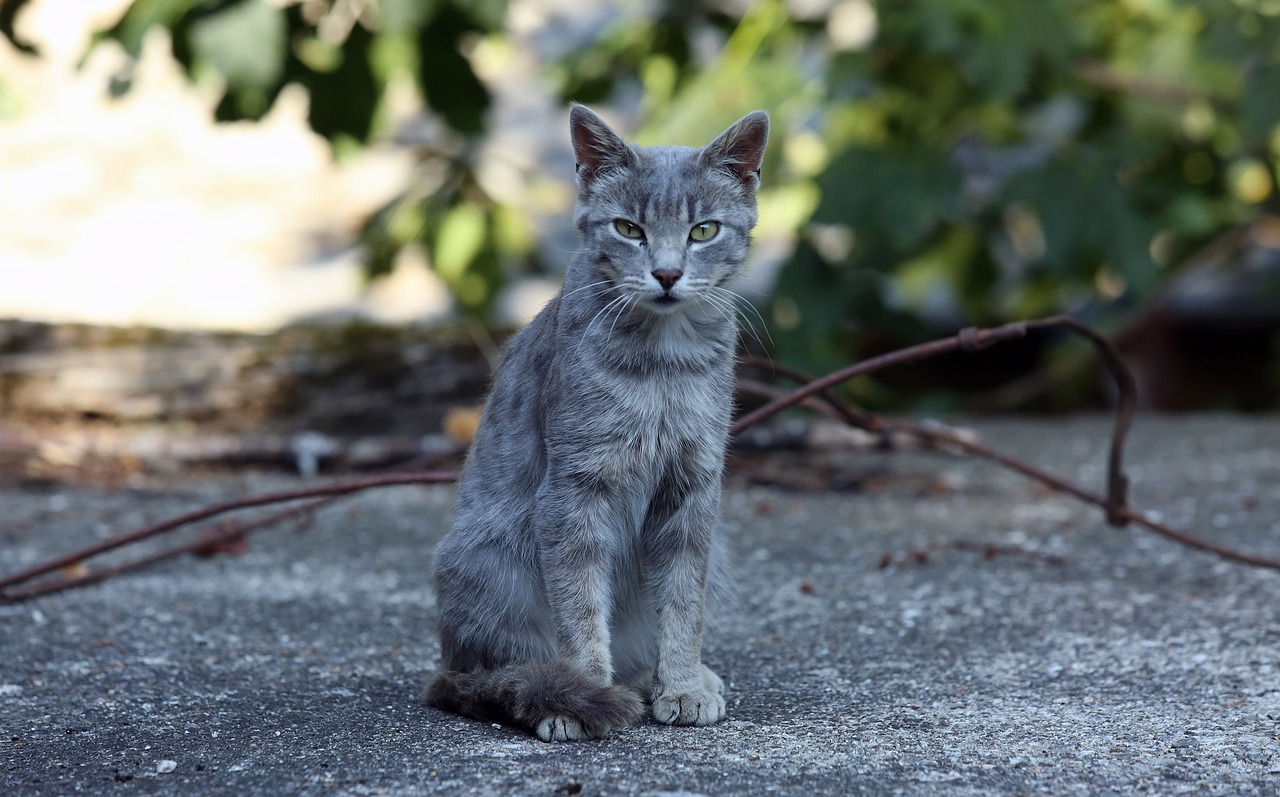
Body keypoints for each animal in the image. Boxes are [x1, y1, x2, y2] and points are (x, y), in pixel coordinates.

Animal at [422, 106, 768, 741]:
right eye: (628, 229)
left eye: (703, 231)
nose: (666, 273)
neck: (663, 363)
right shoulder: (572, 491)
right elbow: (580, 606)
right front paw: (581, 694)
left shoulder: (693, 491)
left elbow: (683, 604)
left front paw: (682, 684)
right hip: (487, 556)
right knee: (499, 663)